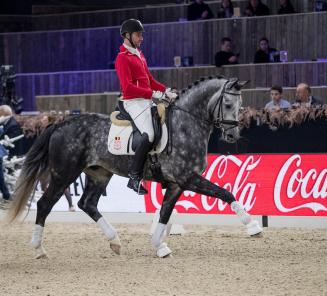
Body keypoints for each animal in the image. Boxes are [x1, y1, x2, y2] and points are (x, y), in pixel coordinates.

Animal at [7, 76, 262, 260]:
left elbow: (165, 213)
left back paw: (115, 241)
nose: (232, 135)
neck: (185, 125)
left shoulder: (176, 184)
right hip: (64, 174)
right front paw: (252, 226)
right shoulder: (187, 178)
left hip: (100, 174)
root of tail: (59, 124)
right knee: (45, 204)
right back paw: (38, 249)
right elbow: (225, 192)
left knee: (87, 203)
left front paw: (159, 246)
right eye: (227, 104)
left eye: (241, 106)